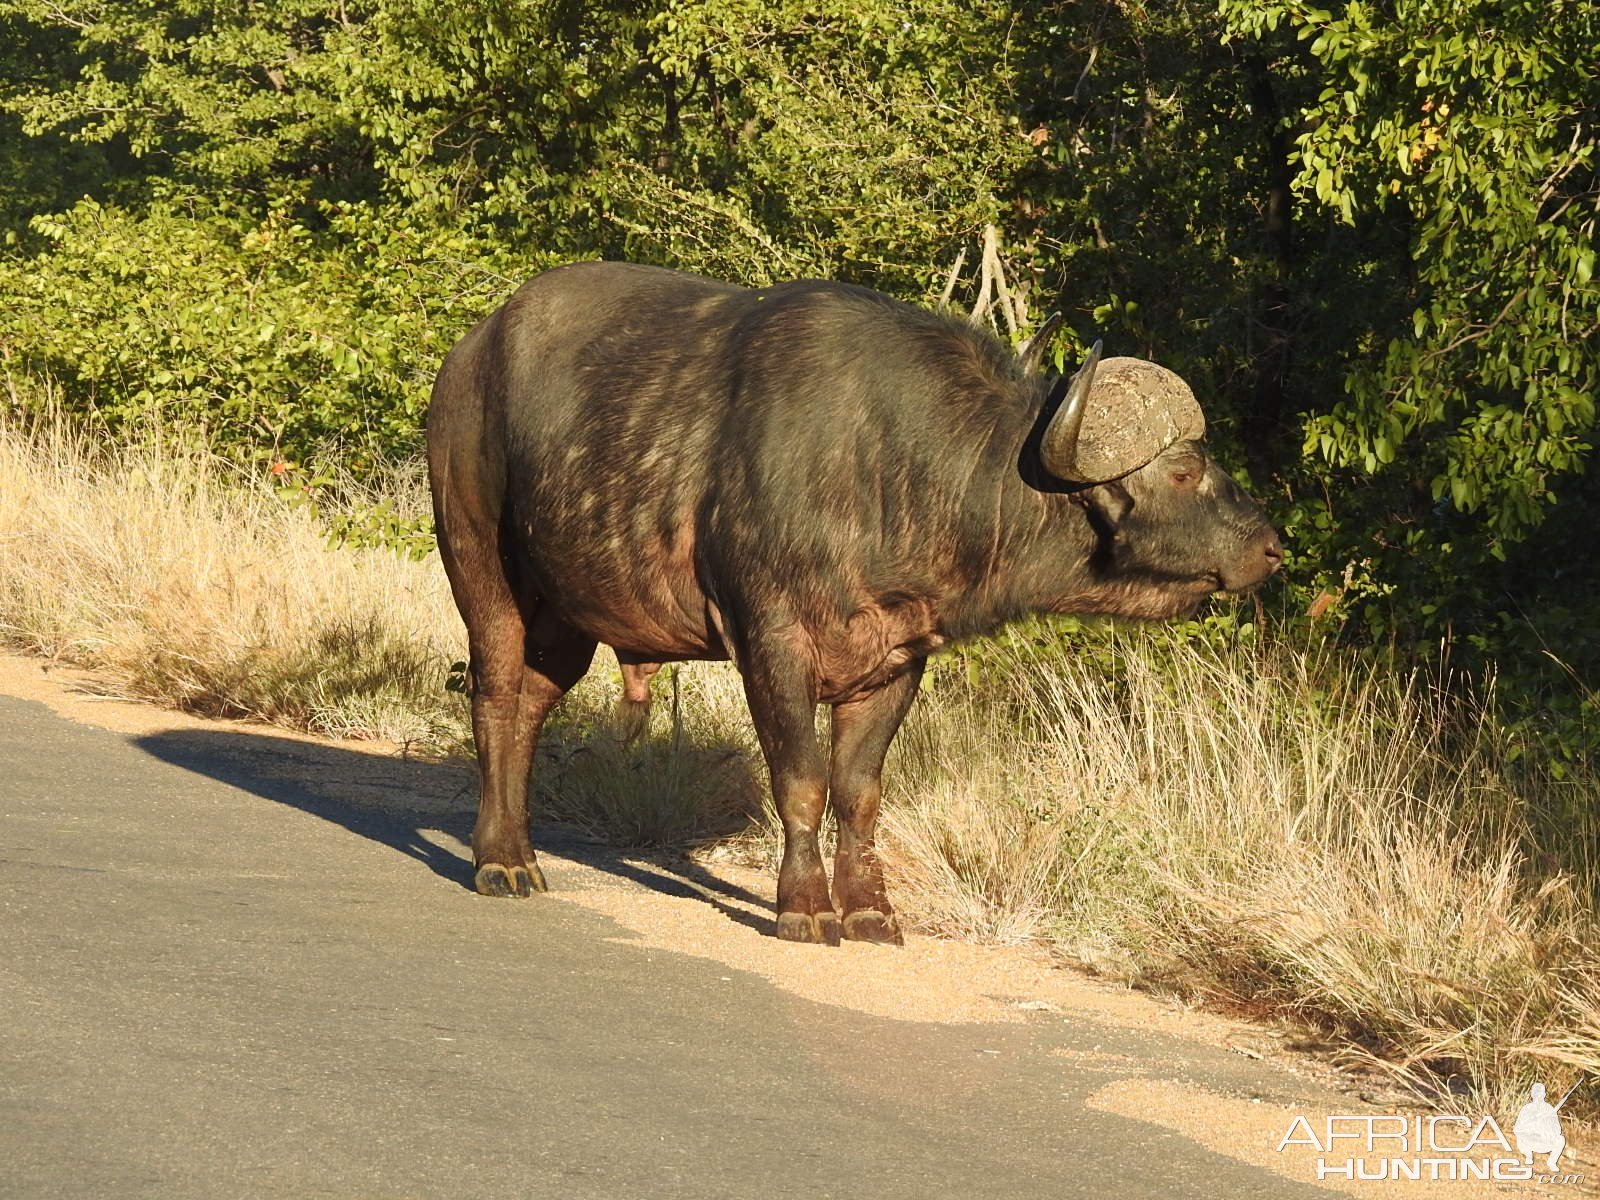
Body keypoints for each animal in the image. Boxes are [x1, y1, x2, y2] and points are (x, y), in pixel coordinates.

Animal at [425, 262, 1273, 947]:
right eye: (1185, 470)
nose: (1269, 547)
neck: (890, 468)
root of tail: (468, 356)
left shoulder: (896, 662)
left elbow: (860, 792)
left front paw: (870, 909)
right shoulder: (770, 643)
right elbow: (801, 780)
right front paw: (803, 906)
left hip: (566, 618)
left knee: (531, 705)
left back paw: (521, 849)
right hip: (481, 567)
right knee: (494, 694)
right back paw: (499, 862)